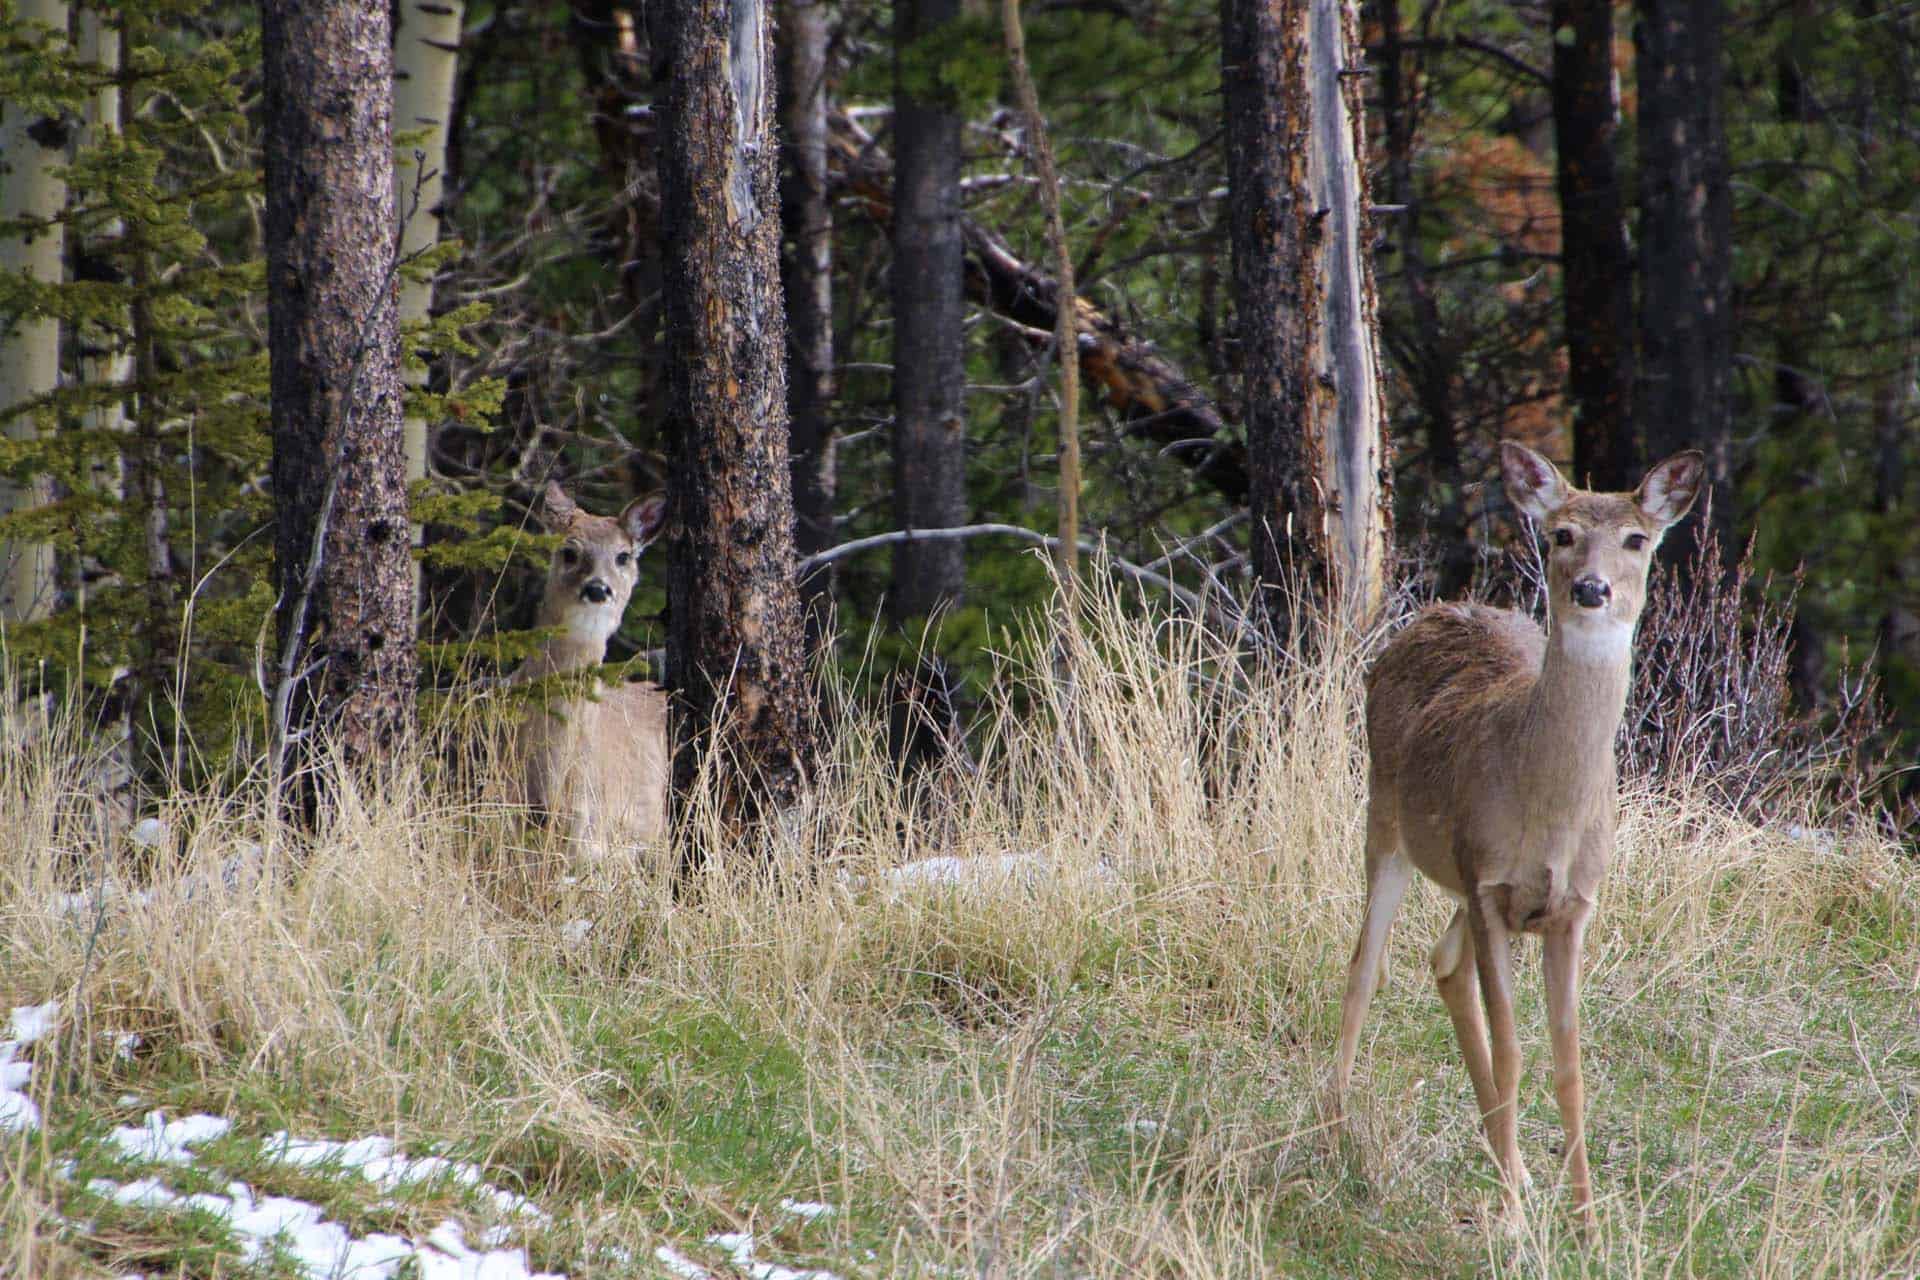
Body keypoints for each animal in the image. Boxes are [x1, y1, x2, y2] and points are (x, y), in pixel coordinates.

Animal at [1328, 441, 1704, 1228]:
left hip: (1458, 874)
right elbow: (1512, 1053)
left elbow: (1568, 1068)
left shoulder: (1570, 907)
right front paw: (1511, 1221)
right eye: (1560, 533)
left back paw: (1517, 1167)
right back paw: (1334, 1126)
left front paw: (1585, 1218)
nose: (1591, 588)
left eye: (1638, 539)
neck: (1550, 813)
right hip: (1387, 819)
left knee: (1443, 963)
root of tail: (1436, 609)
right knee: (1364, 964)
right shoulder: (1488, 887)